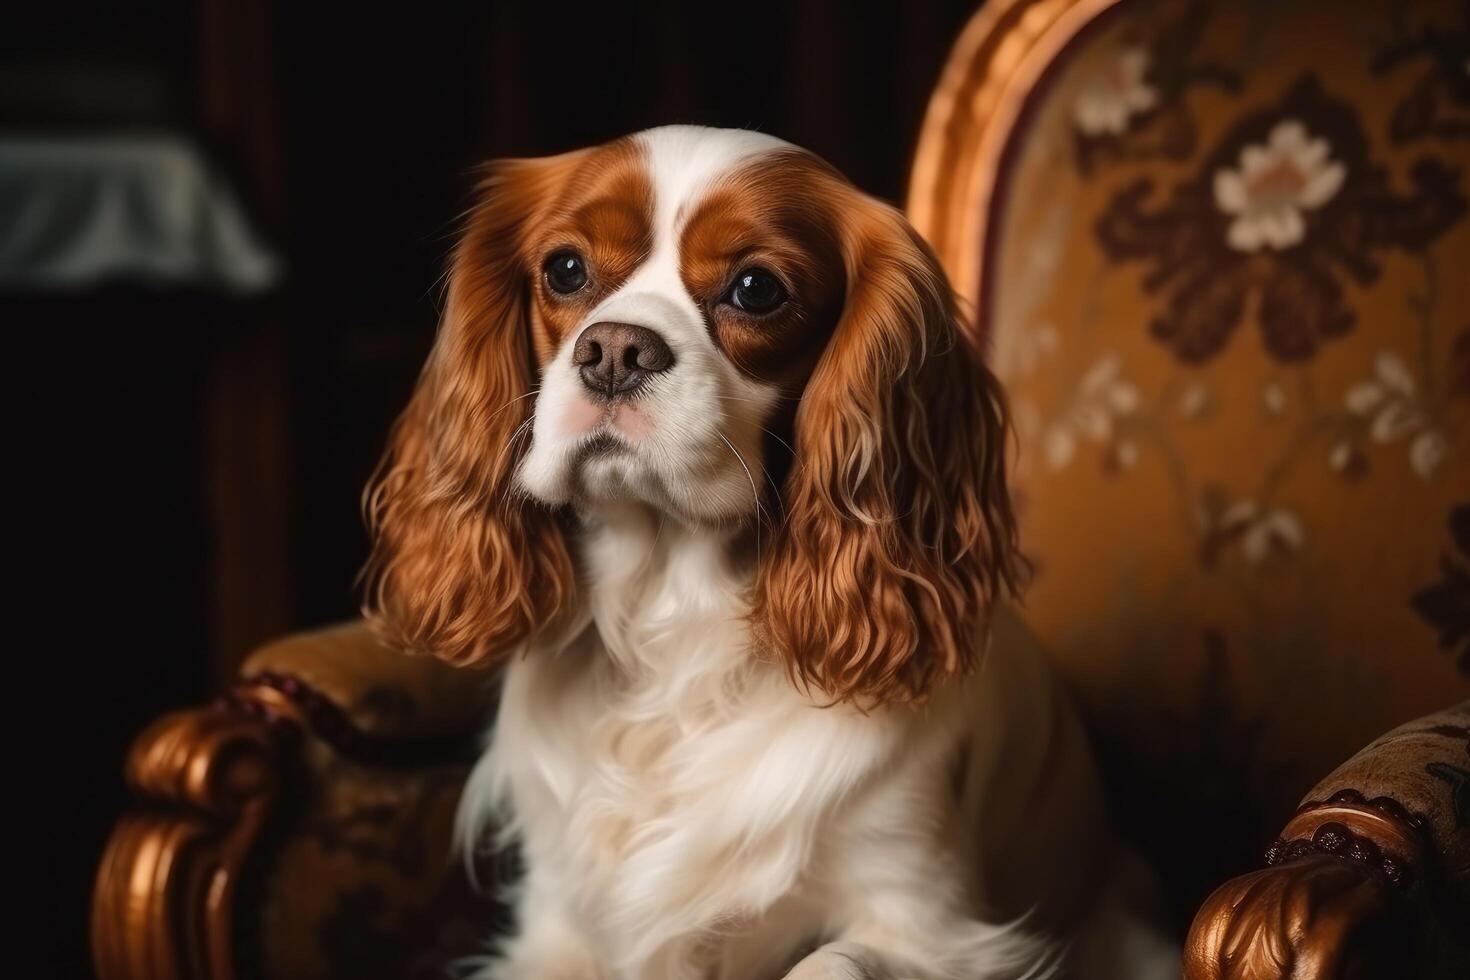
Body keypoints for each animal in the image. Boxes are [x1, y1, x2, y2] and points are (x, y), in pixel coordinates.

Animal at [361, 126, 1176, 975]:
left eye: (756, 289)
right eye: (565, 269)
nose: (615, 349)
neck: (671, 621)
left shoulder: (933, 924)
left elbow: (828, 962)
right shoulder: (556, 925)